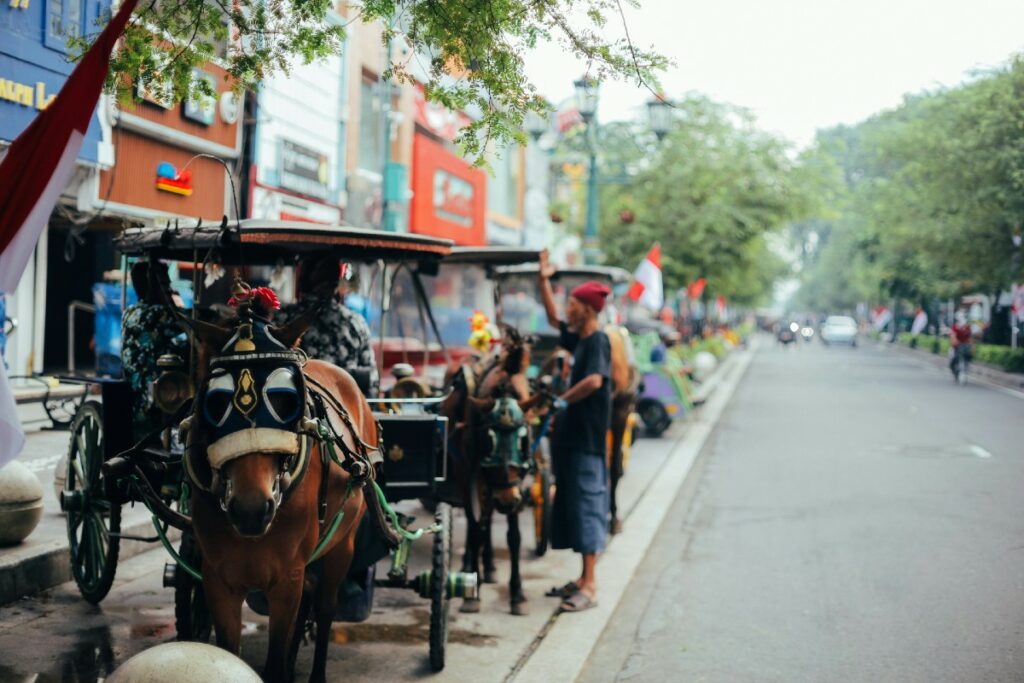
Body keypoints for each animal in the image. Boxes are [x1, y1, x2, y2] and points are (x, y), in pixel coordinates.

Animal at [181, 305, 380, 683]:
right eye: (216, 401)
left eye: (284, 398)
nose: (251, 509)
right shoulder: (217, 579)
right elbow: (229, 654)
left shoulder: (286, 578)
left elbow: (273, 664)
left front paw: (284, 666)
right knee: (310, 597)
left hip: (342, 543)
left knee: (325, 605)